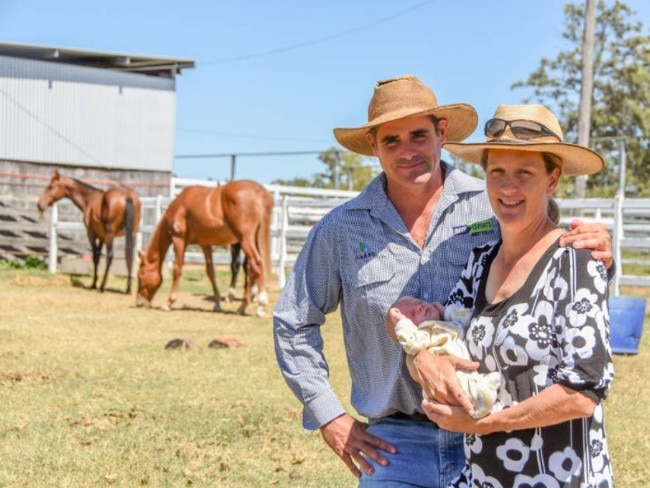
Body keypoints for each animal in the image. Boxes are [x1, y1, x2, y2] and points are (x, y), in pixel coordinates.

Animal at [135, 179, 272, 316]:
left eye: (140, 275)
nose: (139, 303)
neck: (180, 205)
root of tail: (260, 192)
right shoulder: (205, 244)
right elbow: (210, 272)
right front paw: (217, 304)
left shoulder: (179, 240)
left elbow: (177, 269)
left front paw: (168, 302)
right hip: (253, 240)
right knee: (251, 269)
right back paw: (242, 307)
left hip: (245, 240)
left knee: (256, 263)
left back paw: (260, 306)